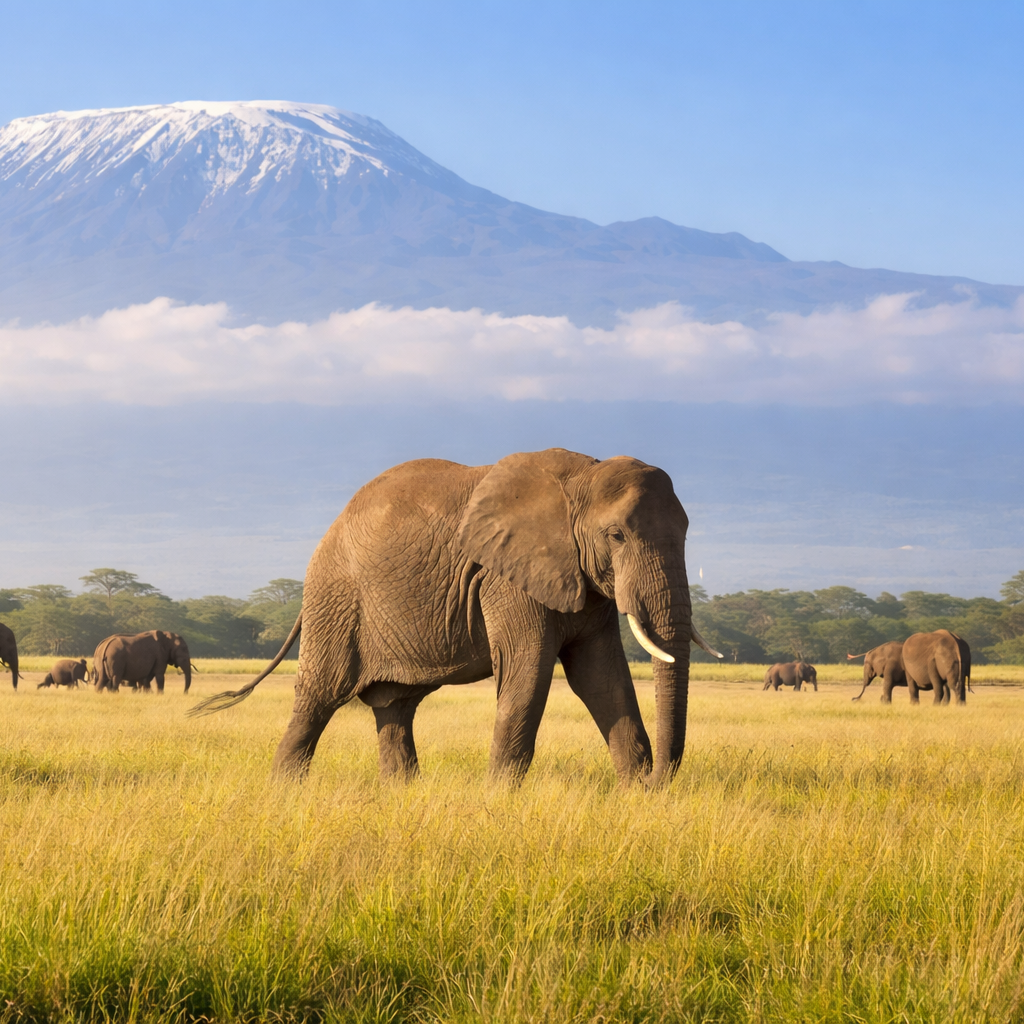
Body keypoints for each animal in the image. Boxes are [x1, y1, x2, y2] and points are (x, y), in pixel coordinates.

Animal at [192, 449, 724, 784]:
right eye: (616, 536)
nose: (658, 779)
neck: (583, 476)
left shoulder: (583, 581)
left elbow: (602, 678)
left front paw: (635, 794)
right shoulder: (506, 577)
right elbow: (528, 674)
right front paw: (500, 801)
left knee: (394, 707)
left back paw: (400, 796)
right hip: (336, 599)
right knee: (318, 698)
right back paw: (284, 793)